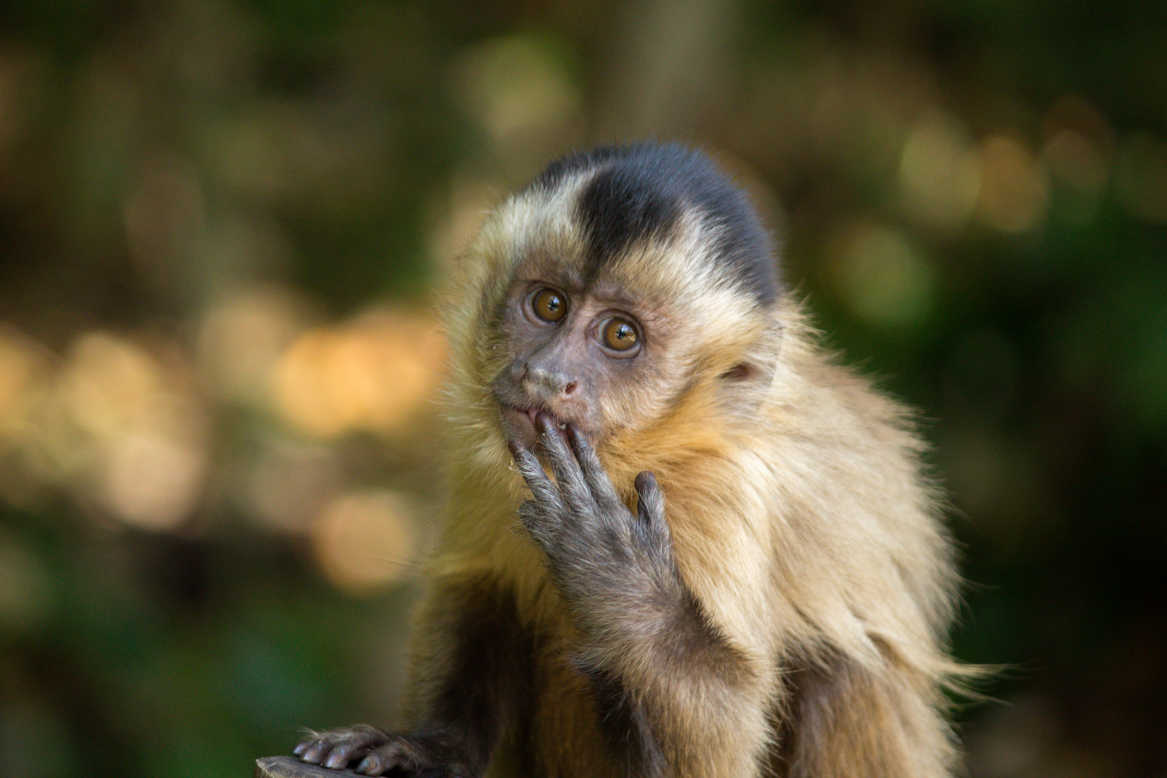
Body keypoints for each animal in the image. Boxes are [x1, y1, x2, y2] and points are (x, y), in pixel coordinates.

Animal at [289, 142, 966, 774]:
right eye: (549, 304)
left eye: (620, 335)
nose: (545, 375)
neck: (644, 449)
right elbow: (480, 586)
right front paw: (429, 745)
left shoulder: (716, 493)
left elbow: (725, 741)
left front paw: (620, 579)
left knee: (846, 663)